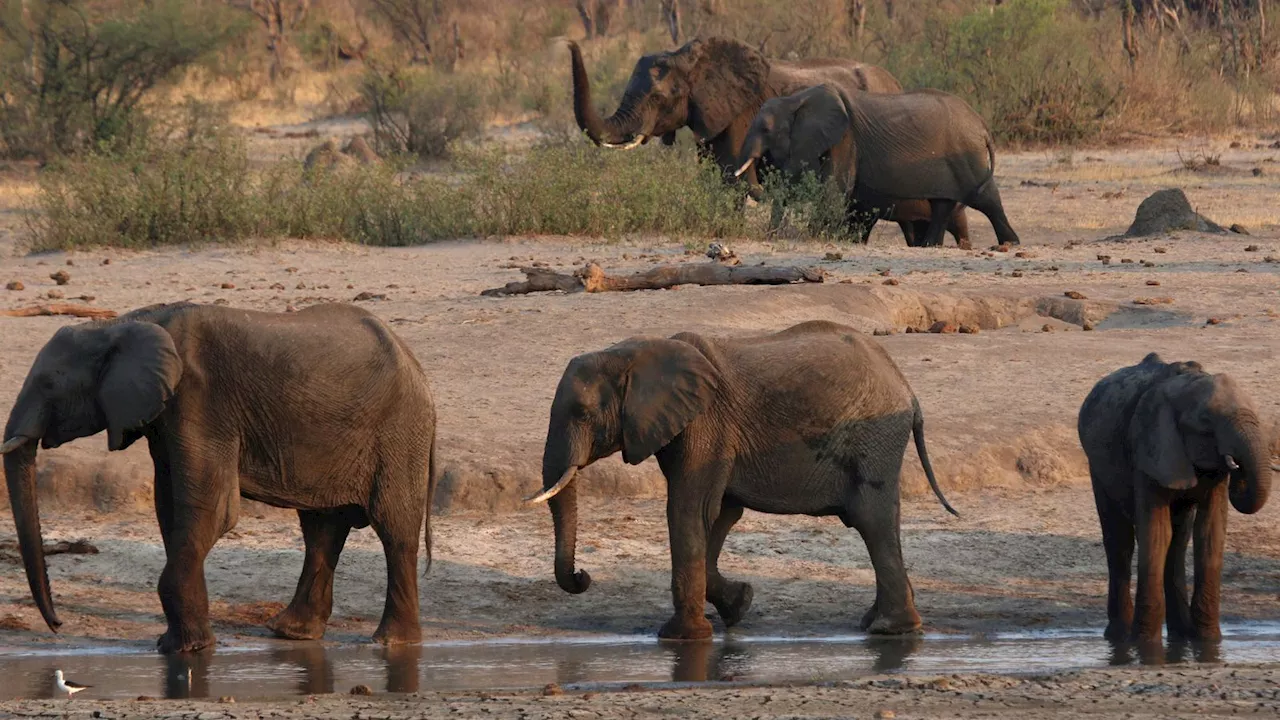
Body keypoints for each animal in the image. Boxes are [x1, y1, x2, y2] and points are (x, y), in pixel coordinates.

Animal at [2, 299, 437, 653]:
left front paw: (185, 650)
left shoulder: (200, 400)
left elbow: (211, 510)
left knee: (393, 529)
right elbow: (170, 506)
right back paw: (291, 632)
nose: (57, 625)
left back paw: (392, 642)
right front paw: (178, 644)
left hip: (399, 432)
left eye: (48, 384)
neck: (124, 323)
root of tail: (416, 366)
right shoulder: (167, 413)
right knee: (321, 529)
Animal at [524, 319, 957, 638]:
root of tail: (907, 387)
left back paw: (889, 629)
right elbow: (719, 515)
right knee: (882, 520)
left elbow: (689, 510)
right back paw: (878, 623)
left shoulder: (705, 425)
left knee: (872, 519)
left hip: (874, 437)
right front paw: (740, 605)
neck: (637, 352)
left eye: (582, 413)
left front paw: (682, 637)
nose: (583, 576)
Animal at [742, 82, 1018, 245]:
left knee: (984, 197)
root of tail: (981, 124)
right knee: (943, 204)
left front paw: (816, 237)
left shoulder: (845, 140)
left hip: (966, 155)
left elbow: (834, 191)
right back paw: (930, 246)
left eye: (765, 129)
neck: (796, 100)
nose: (770, 236)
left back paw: (1010, 243)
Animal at [1080, 351, 1269, 640]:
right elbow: (1156, 533)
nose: (1239, 468)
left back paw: (1181, 633)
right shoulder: (1149, 449)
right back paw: (1120, 635)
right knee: (1120, 541)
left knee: (1178, 541)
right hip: (1098, 467)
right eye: (1206, 422)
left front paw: (1208, 641)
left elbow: (1210, 532)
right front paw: (1145, 643)